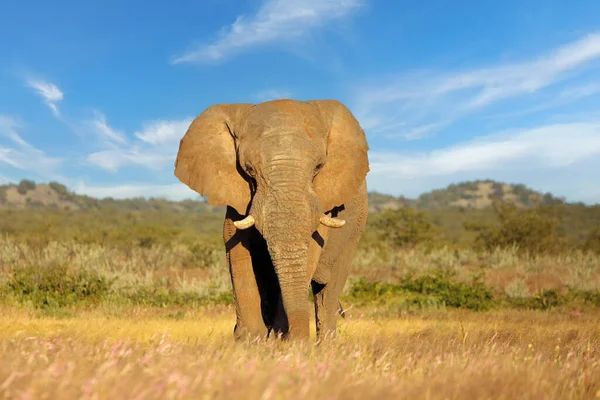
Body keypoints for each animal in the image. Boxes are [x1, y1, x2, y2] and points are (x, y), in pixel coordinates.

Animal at [173, 98, 370, 340]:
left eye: (318, 167)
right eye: (249, 169)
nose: (296, 338)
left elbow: (310, 250)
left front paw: (281, 342)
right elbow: (237, 250)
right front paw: (249, 341)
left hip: (354, 231)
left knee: (327, 291)